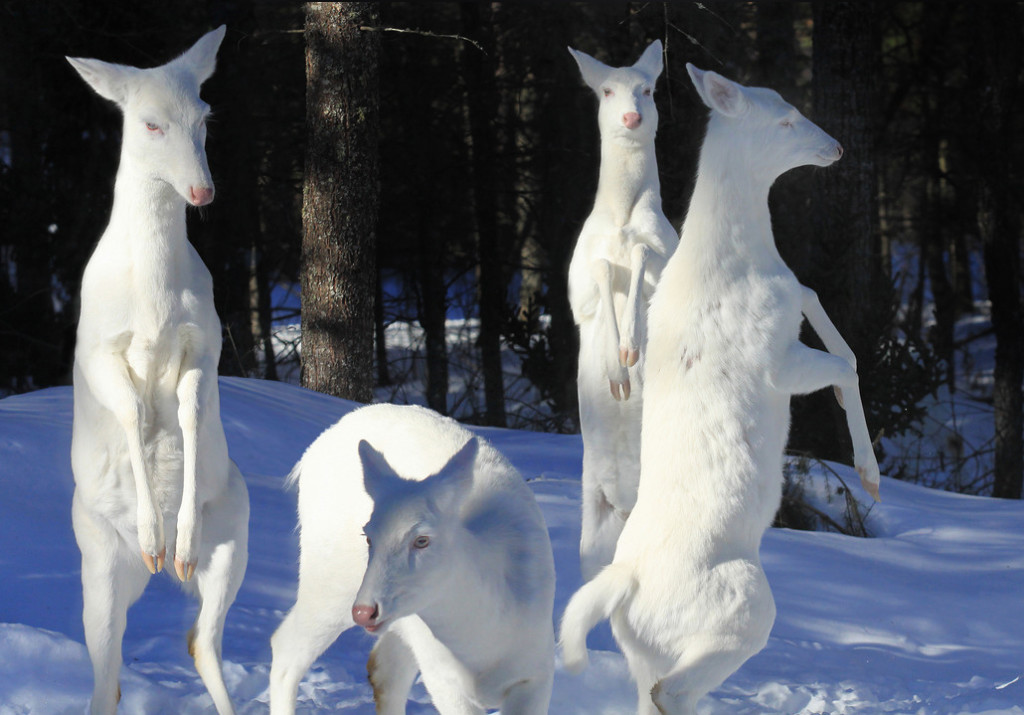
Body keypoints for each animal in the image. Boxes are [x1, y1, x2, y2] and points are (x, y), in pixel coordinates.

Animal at [66, 25, 249, 708]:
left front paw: (181, 536)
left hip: (238, 536)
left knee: (200, 640)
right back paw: (151, 550)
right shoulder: (97, 347)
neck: (155, 299)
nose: (202, 191)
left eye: (204, 116)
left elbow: (191, 411)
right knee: (106, 671)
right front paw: (152, 532)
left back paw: (180, 557)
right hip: (96, 559)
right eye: (149, 123)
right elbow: (129, 413)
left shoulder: (206, 341)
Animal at [264, 403, 552, 708]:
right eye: (368, 535)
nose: (365, 611)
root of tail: (307, 457)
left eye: (422, 539)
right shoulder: (441, 678)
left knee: (383, 671)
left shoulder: (538, 672)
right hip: (328, 581)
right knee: (286, 649)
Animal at [561, 66, 880, 712]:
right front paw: (869, 473)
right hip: (743, 608)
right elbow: (846, 366)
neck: (742, 257)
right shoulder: (777, 361)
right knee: (671, 689)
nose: (835, 147)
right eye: (785, 119)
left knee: (649, 688)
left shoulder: (789, 304)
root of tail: (624, 586)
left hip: (644, 646)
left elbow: (818, 303)